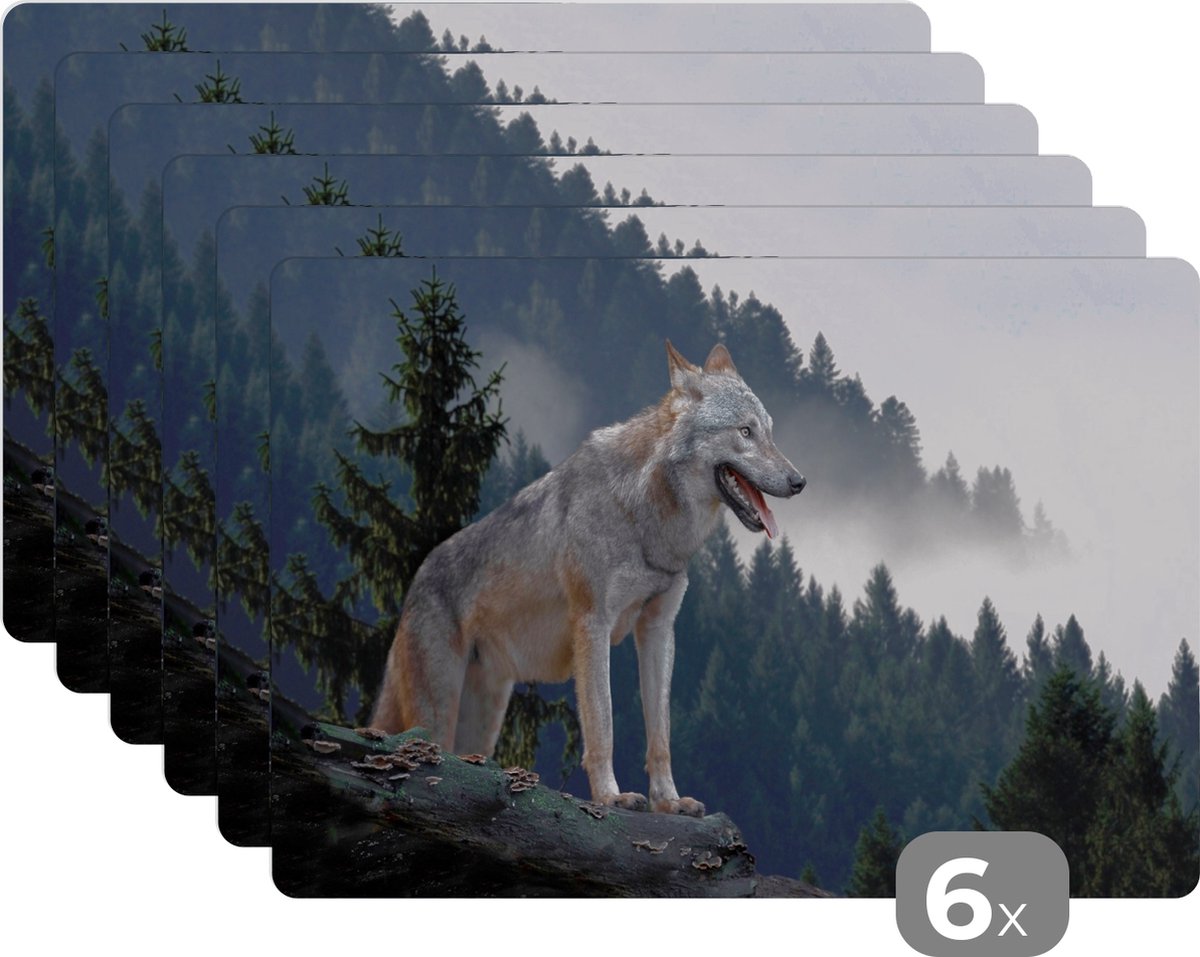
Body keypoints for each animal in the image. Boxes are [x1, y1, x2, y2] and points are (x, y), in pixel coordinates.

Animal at [371, 341, 805, 816]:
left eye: (769, 432)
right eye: (745, 432)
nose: (799, 481)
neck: (644, 517)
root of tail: (415, 582)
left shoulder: (658, 629)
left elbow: (661, 734)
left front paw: (669, 802)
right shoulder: (593, 624)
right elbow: (603, 724)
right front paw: (611, 796)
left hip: (482, 723)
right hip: (437, 714)